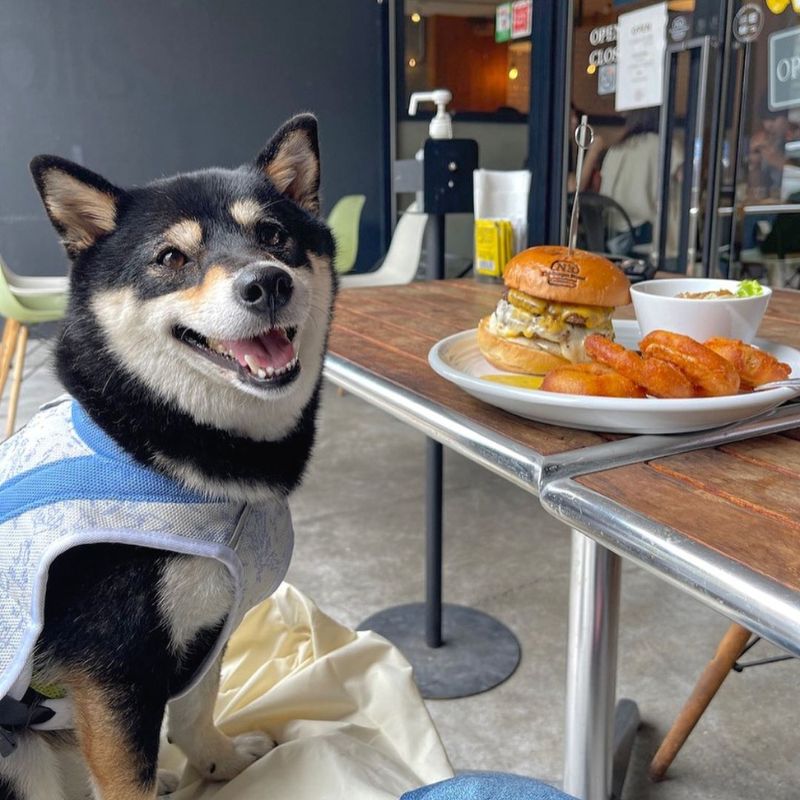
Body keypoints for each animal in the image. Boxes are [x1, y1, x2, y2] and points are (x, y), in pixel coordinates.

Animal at [0, 114, 336, 800]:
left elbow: (194, 710)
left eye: (274, 235)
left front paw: (221, 764)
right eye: (171, 258)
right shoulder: (113, 670)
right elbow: (130, 778)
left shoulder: (209, 628)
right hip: (22, 762)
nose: (267, 281)